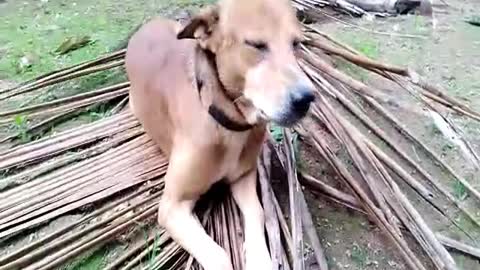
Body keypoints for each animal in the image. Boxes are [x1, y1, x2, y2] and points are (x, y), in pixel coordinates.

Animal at [124, 0, 316, 270]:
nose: (306, 98)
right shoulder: (172, 207)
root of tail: (144, 29)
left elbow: (258, 211)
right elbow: (218, 254)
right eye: (256, 45)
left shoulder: (244, 177)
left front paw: (259, 259)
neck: (230, 125)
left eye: (296, 43)